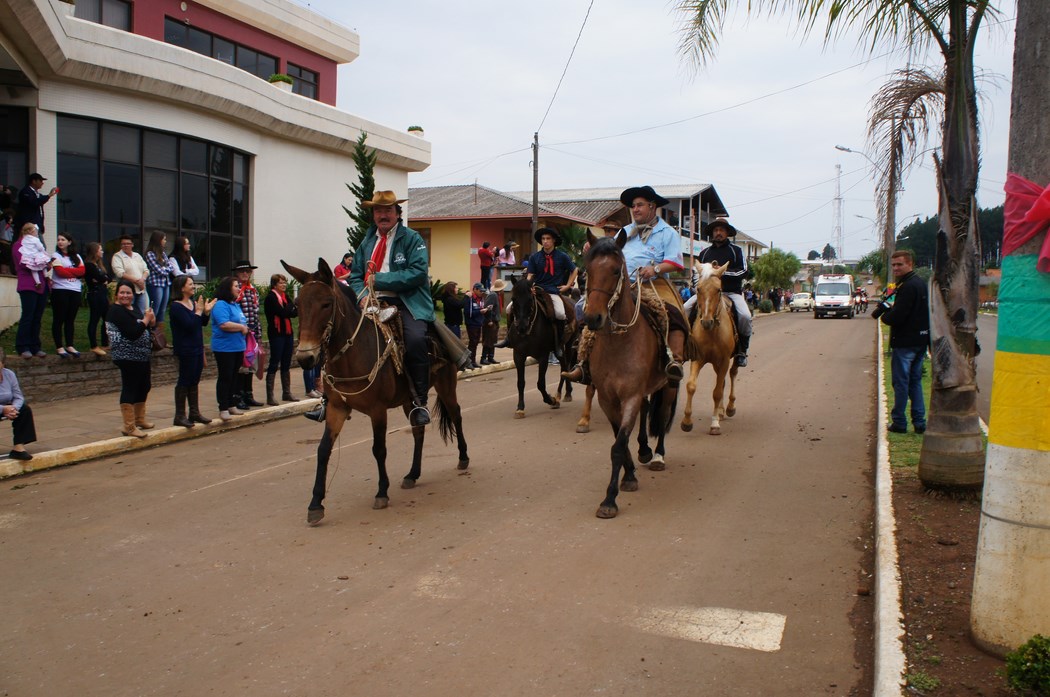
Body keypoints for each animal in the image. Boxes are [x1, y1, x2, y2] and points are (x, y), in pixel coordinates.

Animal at [281, 258, 469, 525]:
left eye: (326, 304)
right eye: (297, 306)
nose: (305, 358)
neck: (352, 355)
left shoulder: (377, 410)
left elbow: (378, 449)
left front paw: (382, 492)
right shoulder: (337, 408)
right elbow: (323, 450)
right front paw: (316, 504)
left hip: (446, 386)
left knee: (456, 415)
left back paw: (463, 457)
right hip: (409, 400)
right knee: (418, 429)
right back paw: (413, 474)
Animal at [506, 275, 575, 418]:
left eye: (530, 299)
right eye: (513, 299)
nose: (521, 327)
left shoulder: (543, 356)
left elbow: (541, 384)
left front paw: (551, 400)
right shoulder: (518, 355)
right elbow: (520, 383)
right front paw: (520, 408)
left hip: (568, 344)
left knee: (565, 367)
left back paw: (562, 395)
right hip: (558, 349)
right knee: (564, 366)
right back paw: (563, 394)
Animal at [581, 231, 679, 519]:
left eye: (615, 270)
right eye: (587, 270)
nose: (593, 317)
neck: (619, 343)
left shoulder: (631, 396)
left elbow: (618, 445)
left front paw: (609, 500)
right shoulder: (607, 399)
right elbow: (620, 442)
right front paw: (629, 476)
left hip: (669, 385)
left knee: (663, 414)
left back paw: (657, 456)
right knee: (647, 411)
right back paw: (645, 451)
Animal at [680, 261, 739, 435]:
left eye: (718, 289)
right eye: (698, 289)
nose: (706, 322)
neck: (712, 332)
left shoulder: (724, 360)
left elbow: (717, 392)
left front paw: (714, 424)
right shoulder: (698, 359)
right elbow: (691, 386)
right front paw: (687, 421)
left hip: (733, 359)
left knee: (732, 374)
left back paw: (729, 407)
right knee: (723, 381)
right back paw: (720, 411)